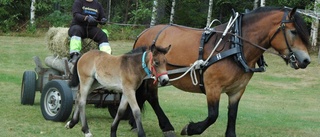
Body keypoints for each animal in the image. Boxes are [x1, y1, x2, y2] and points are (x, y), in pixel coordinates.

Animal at [130, 6, 310, 137]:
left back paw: (134, 122)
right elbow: (213, 115)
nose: (306, 60)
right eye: (294, 31)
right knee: (151, 97)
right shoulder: (213, 87)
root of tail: (144, 32)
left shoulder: (237, 90)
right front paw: (190, 128)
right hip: (154, 77)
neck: (236, 47)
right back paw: (166, 125)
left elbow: (232, 115)